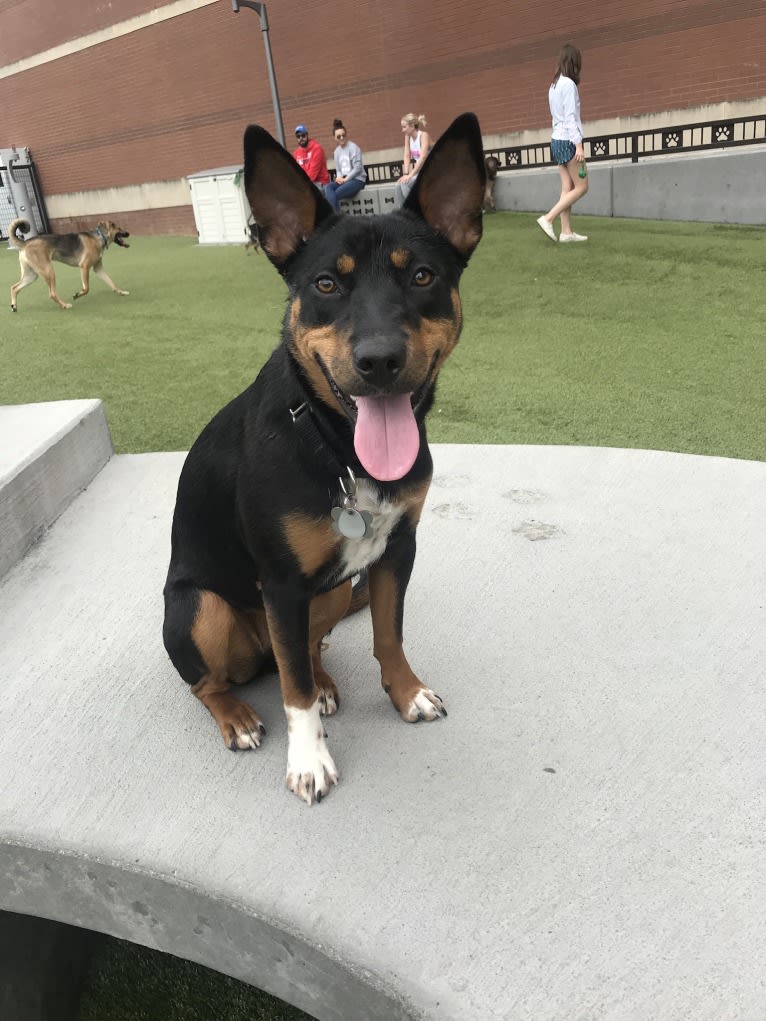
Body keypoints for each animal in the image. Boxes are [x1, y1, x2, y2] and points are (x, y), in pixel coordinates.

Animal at [163, 109, 486, 796]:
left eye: (422, 276)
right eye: (327, 283)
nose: (380, 360)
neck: (337, 448)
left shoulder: (396, 548)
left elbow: (388, 634)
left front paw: (407, 693)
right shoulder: (282, 584)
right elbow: (293, 693)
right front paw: (308, 760)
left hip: (333, 590)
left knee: (307, 653)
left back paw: (329, 683)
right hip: (200, 608)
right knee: (220, 681)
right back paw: (237, 716)